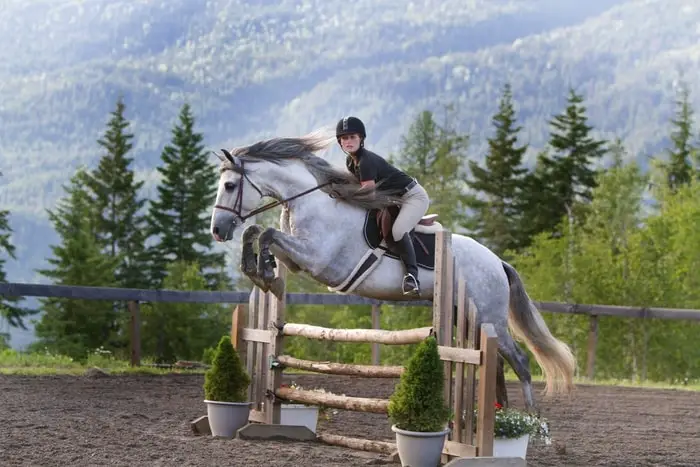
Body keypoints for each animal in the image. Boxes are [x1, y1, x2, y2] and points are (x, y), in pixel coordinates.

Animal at [206, 129, 576, 414]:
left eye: (229, 186)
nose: (218, 230)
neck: (313, 201)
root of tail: (497, 262)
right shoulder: (299, 259)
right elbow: (258, 233)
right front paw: (261, 270)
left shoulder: (320, 260)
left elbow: (266, 233)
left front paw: (263, 270)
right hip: (466, 314)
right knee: (495, 361)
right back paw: (499, 417)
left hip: (490, 314)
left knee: (520, 362)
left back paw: (532, 421)